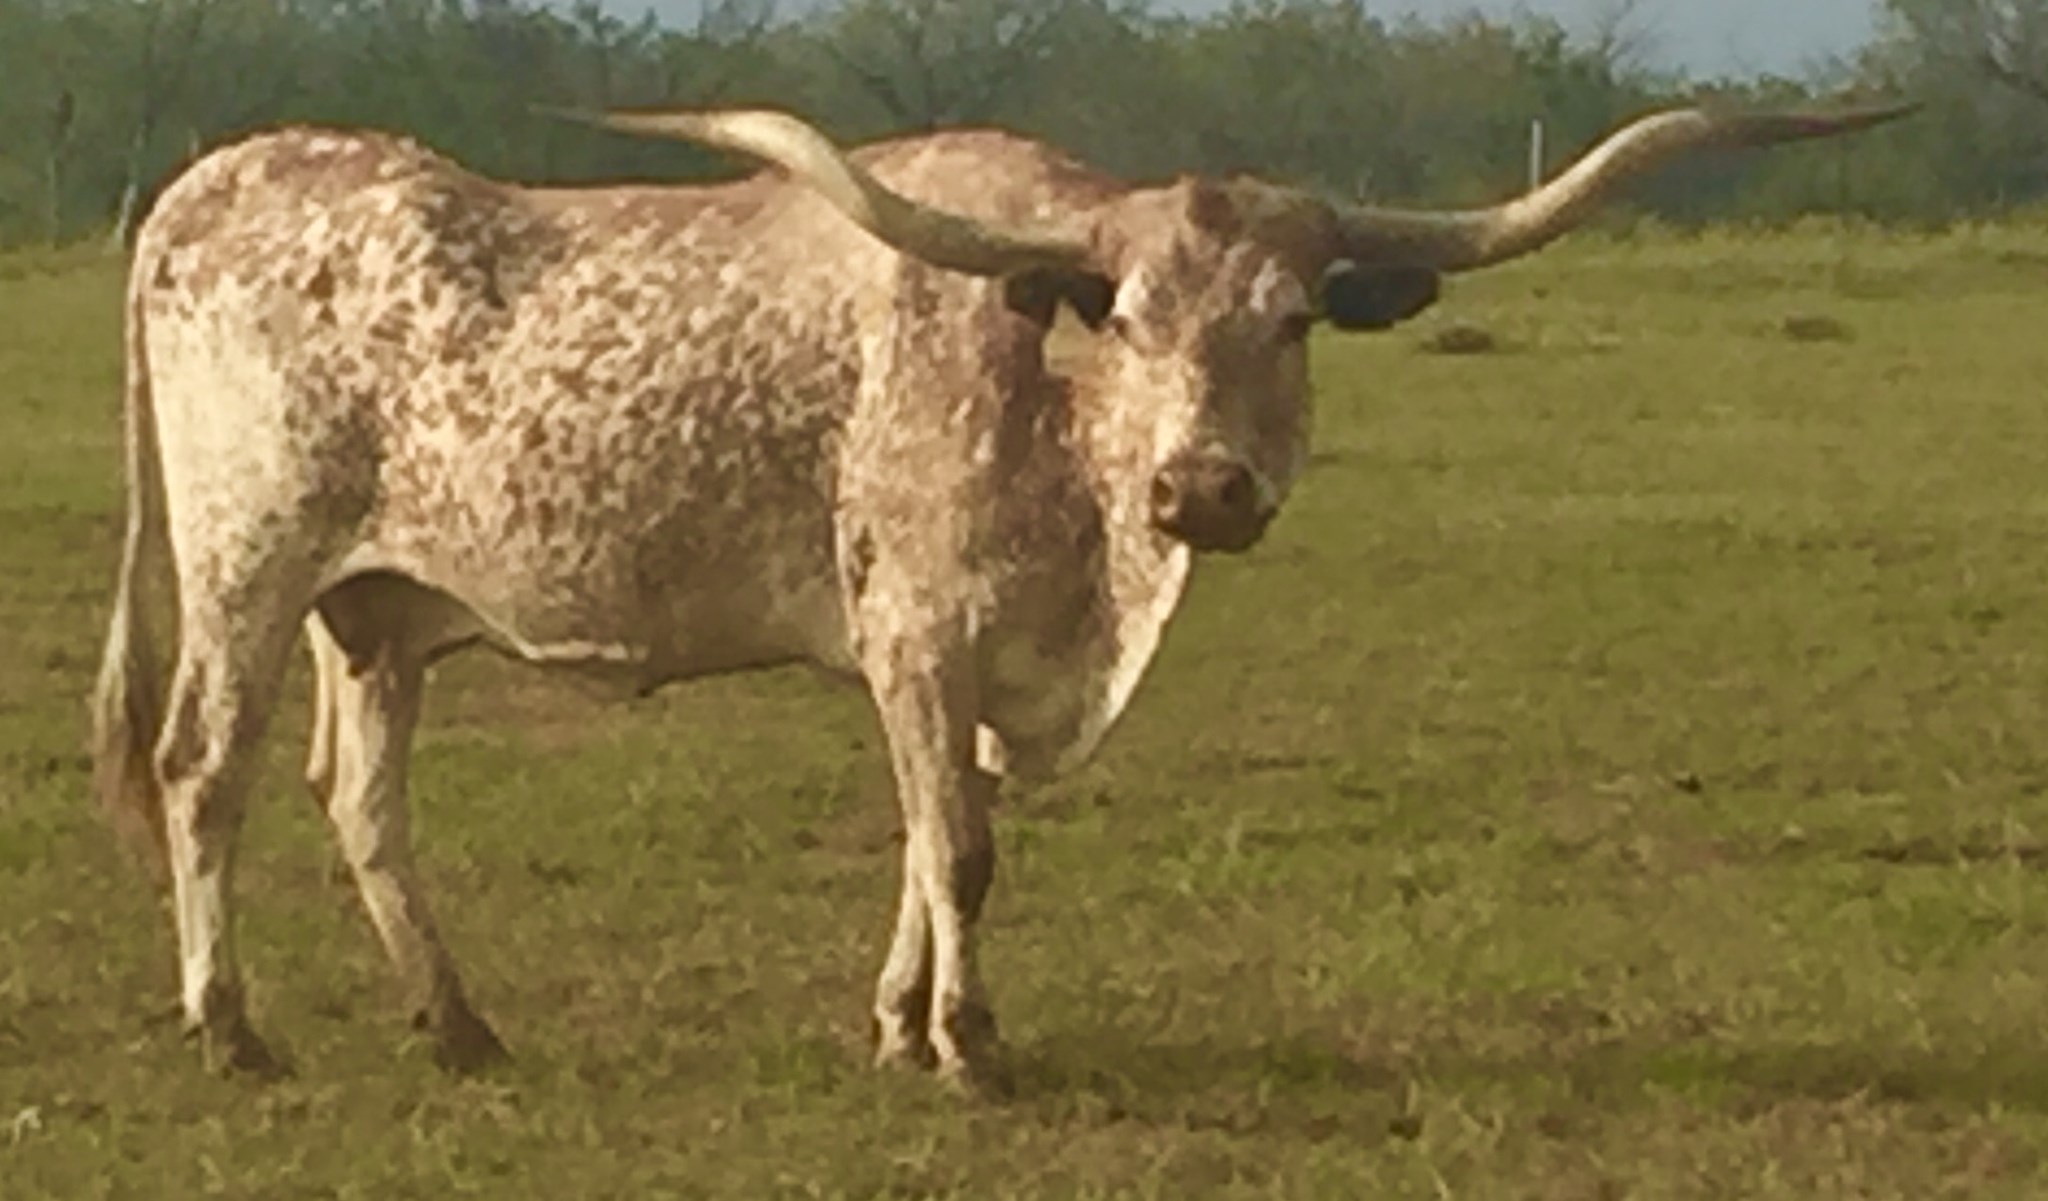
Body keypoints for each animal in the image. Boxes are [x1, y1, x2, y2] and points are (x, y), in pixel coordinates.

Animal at [92, 100, 1909, 1090]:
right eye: (1127, 312)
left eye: (1292, 319)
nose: (1202, 488)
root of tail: (215, 185)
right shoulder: (916, 632)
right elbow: (958, 845)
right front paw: (969, 1045)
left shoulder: (965, 664)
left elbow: (928, 837)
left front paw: (904, 1022)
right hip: (249, 568)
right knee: (203, 772)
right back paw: (228, 1025)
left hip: (376, 610)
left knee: (358, 795)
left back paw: (456, 1020)